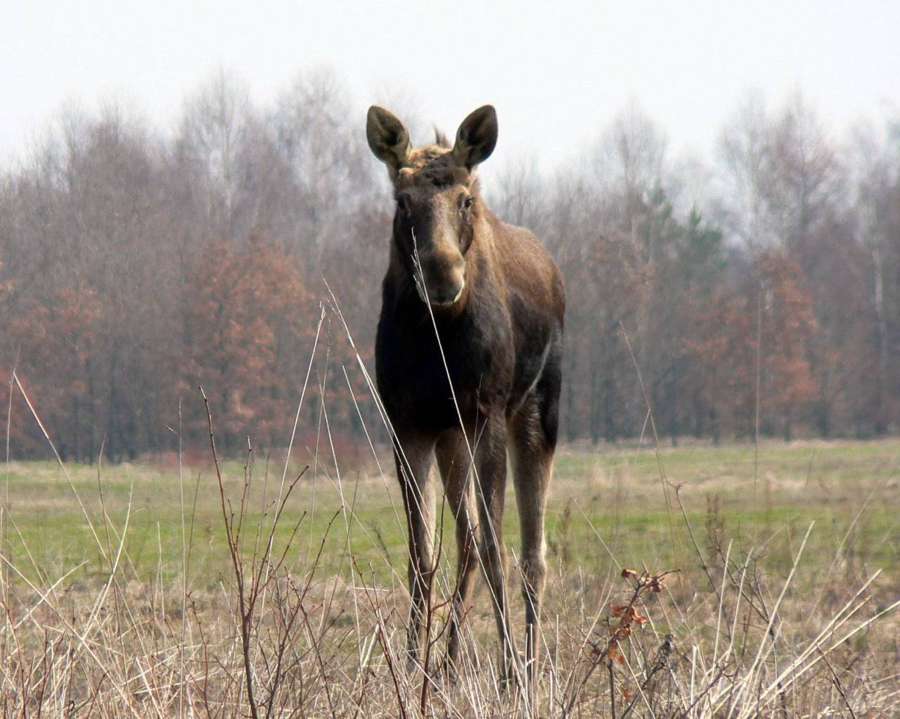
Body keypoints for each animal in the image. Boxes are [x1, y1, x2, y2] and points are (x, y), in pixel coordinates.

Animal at [366, 104, 565, 689]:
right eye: (402, 200)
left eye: (465, 199)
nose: (442, 273)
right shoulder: (407, 423)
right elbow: (422, 552)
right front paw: (413, 666)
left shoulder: (487, 413)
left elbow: (500, 547)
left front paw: (510, 672)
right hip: (452, 437)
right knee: (467, 539)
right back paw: (450, 663)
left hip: (537, 412)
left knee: (532, 552)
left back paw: (528, 663)